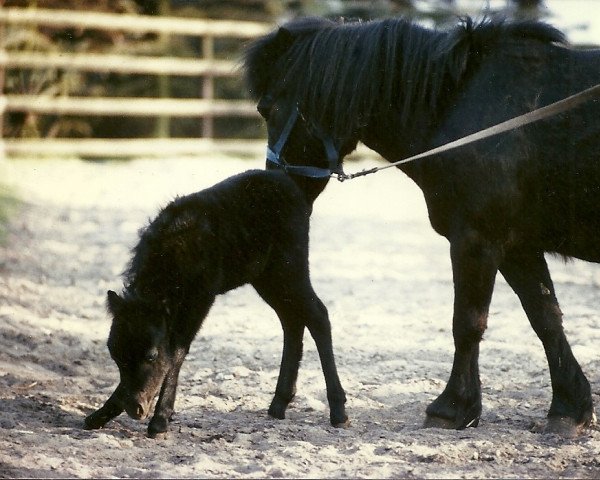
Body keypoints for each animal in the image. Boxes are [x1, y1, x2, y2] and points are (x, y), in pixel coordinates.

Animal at [84, 171, 346, 436]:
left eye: (151, 355)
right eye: (115, 356)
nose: (135, 408)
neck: (172, 255)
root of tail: (293, 186)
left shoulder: (201, 297)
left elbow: (177, 350)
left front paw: (160, 419)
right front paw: (98, 416)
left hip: (290, 266)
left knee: (317, 315)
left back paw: (338, 410)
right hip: (266, 278)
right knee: (291, 319)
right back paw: (279, 403)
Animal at [244, 16, 600, 436]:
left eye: (266, 108)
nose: (273, 193)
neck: (464, 105)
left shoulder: (476, 240)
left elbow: (468, 323)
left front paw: (451, 407)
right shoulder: (516, 246)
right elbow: (546, 318)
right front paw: (568, 407)